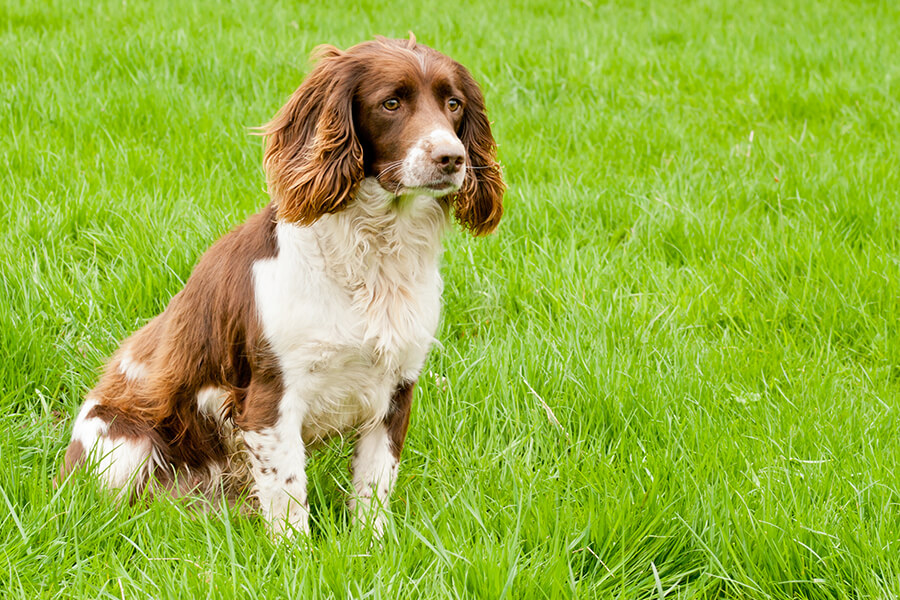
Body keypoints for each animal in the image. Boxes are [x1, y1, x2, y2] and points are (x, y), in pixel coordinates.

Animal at [59, 36, 502, 536]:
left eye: (453, 104)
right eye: (391, 103)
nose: (452, 158)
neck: (372, 260)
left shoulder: (396, 388)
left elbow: (373, 487)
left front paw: (369, 545)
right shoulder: (271, 399)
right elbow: (289, 497)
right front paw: (297, 552)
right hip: (122, 445)